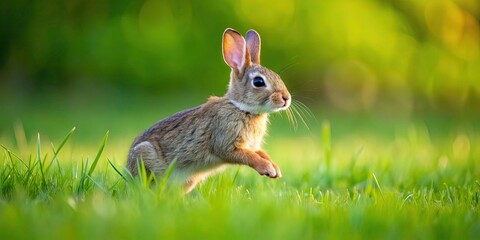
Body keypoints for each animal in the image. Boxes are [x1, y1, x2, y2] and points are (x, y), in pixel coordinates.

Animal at [125, 28, 290, 193]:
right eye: (258, 82)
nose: (286, 98)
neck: (241, 107)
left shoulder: (252, 146)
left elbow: (261, 153)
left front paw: (275, 169)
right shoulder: (226, 143)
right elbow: (250, 157)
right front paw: (267, 169)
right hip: (146, 157)